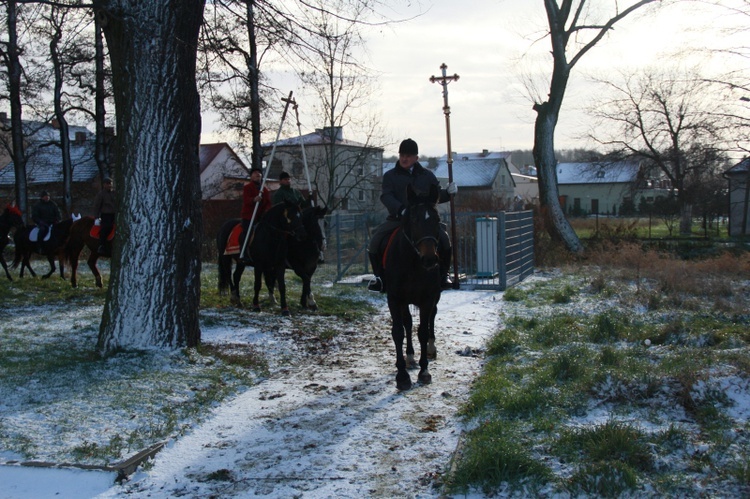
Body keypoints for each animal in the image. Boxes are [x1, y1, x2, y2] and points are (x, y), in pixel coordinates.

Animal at [384, 184, 444, 390]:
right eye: (414, 219)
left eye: (437, 219)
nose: (430, 259)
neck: (412, 263)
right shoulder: (394, 299)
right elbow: (398, 332)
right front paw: (402, 375)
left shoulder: (427, 298)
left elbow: (423, 332)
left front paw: (424, 371)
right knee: (407, 323)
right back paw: (409, 357)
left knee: (431, 317)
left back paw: (431, 348)